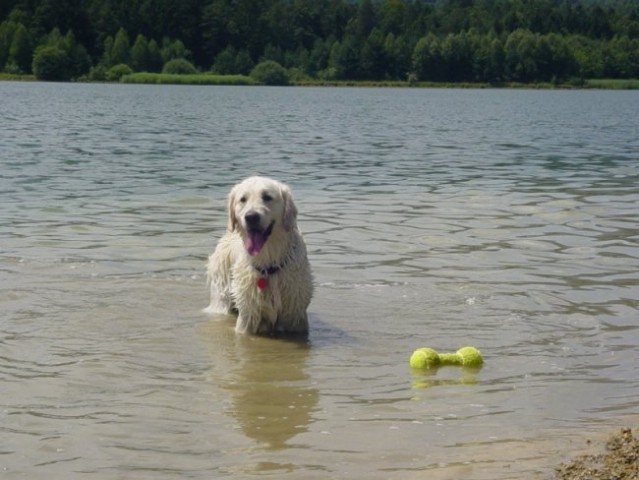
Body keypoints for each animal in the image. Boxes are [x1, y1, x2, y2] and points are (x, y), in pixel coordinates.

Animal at [206, 175, 314, 334]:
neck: (268, 261)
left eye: (267, 197)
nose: (251, 217)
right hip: (221, 295)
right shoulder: (248, 314)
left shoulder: (295, 314)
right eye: (243, 199)